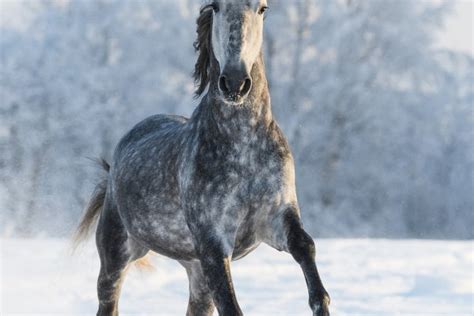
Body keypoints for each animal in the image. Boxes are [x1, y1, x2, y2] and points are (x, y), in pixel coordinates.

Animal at [76, 1, 332, 314]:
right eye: (217, 7)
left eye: (262, 8)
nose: (234, 82)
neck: (244, 148)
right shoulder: (213, 242)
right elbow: (231, 305)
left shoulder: (275, 218)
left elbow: (305, 246)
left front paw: (320, 301)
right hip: (116, 255)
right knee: (108, 300)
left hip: (196, 272)